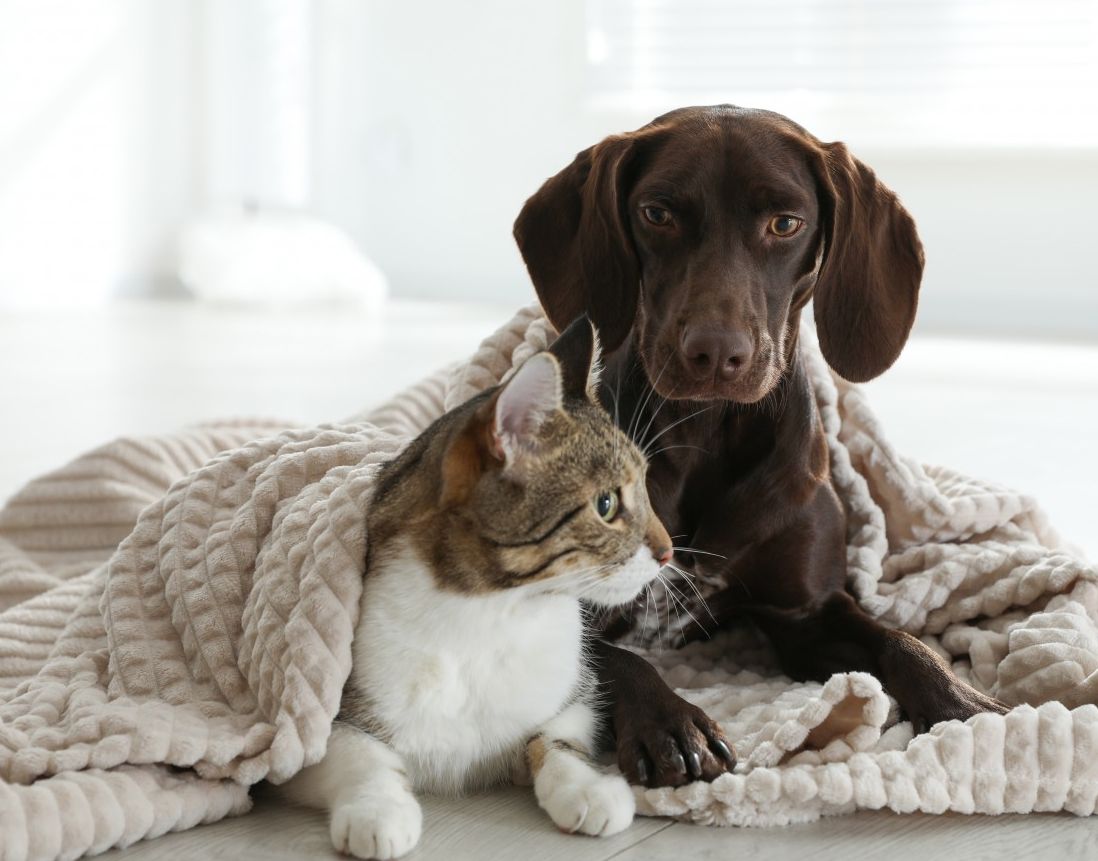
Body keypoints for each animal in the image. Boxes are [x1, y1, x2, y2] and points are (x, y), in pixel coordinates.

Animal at [278, 318, 671, 856]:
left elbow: (556, 738)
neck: (493, 615)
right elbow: (360, 754)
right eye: (607, 504)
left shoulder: (575, 693)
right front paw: (378, 811)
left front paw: (586, 788)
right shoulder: (312, 728)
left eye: (647, 487)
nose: (669, 551)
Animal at [509, 105, 1005, 786]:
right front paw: (671, 721)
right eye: (657, 213)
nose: (715, 353)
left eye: (785, 223)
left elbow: (901, 643)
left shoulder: (807, 619)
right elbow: (618, 660)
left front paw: (962, 700)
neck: (708, 433)